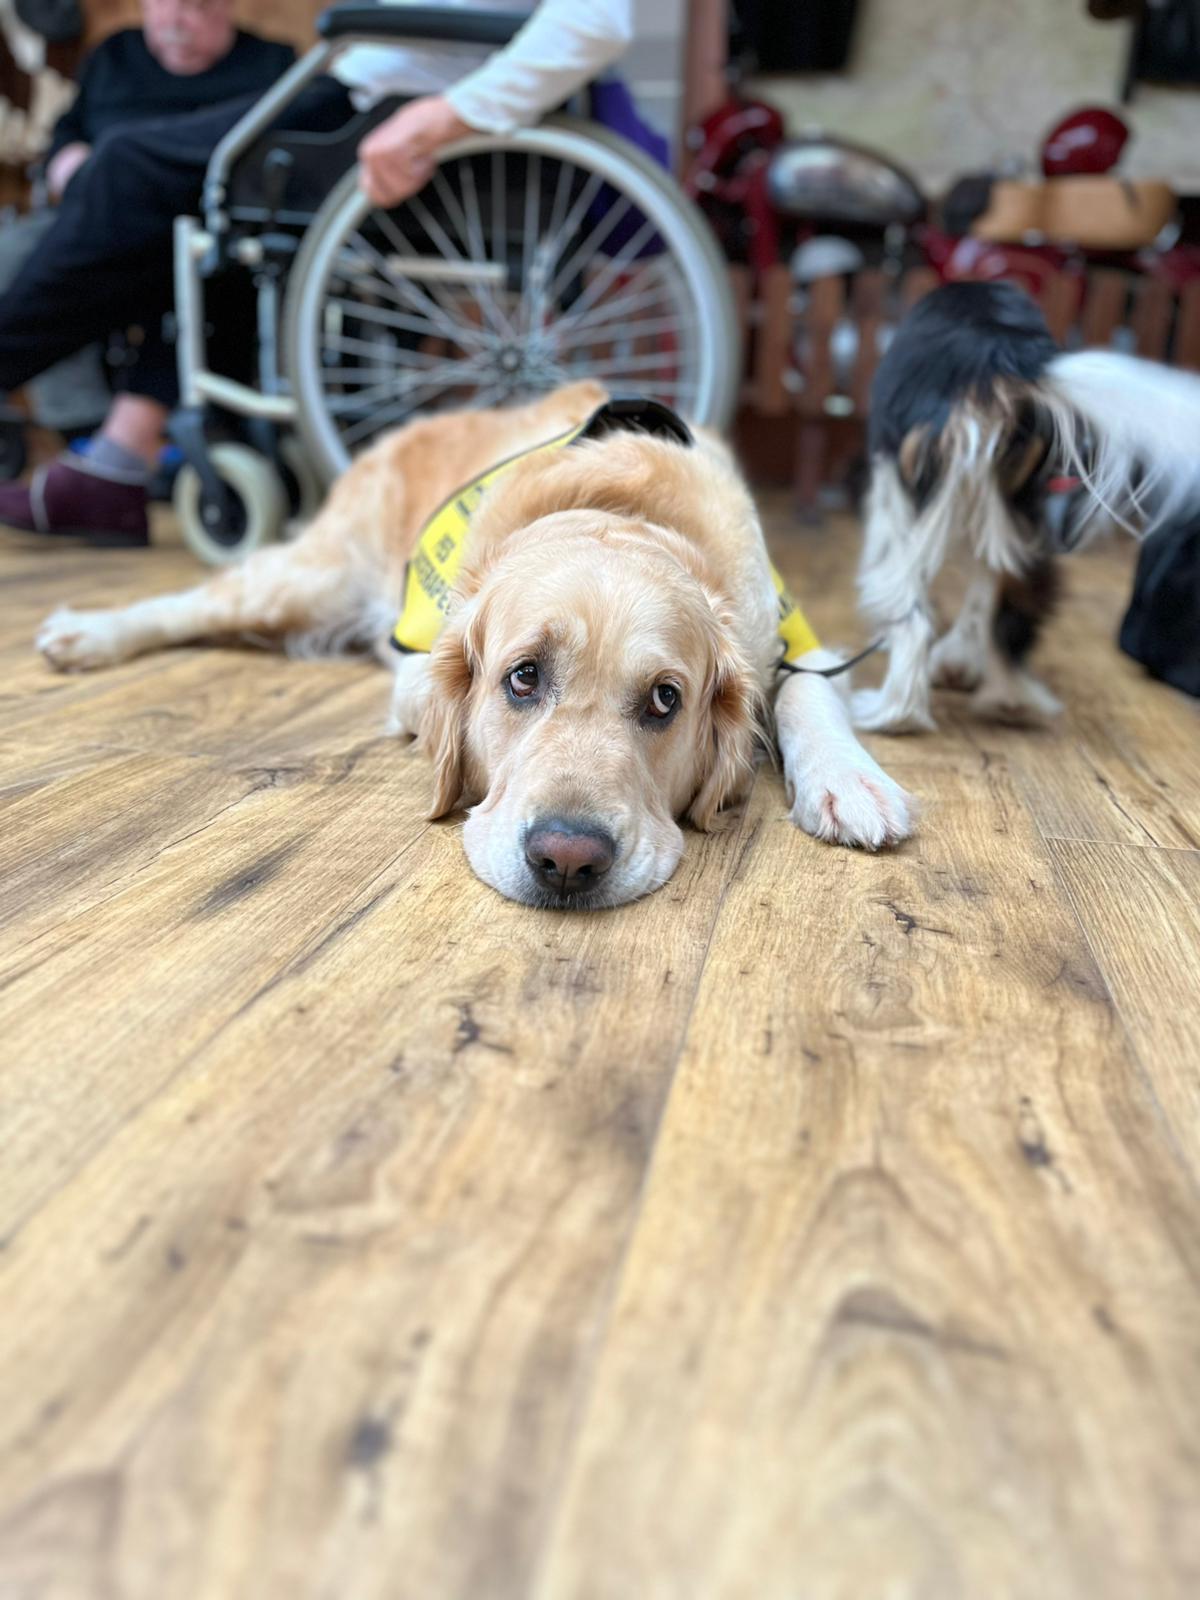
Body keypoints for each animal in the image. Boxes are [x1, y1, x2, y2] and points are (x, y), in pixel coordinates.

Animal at [36, 382, 912, 908]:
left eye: (666, 699)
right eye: (521, 679)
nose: (568, 860)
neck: (619, 509)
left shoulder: (788, 634)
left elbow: (807, 690)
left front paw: (851, 780)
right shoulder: (418, 667)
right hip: (305, 580)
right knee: (193, 602)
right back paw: (87, 634)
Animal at [854, 280, 1200, 734]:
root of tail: (1001, 351)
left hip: (903, 501)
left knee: (914, 619)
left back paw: (895, 714)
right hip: (1022, 512)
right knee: (1008, 603)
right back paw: (1009, 699)